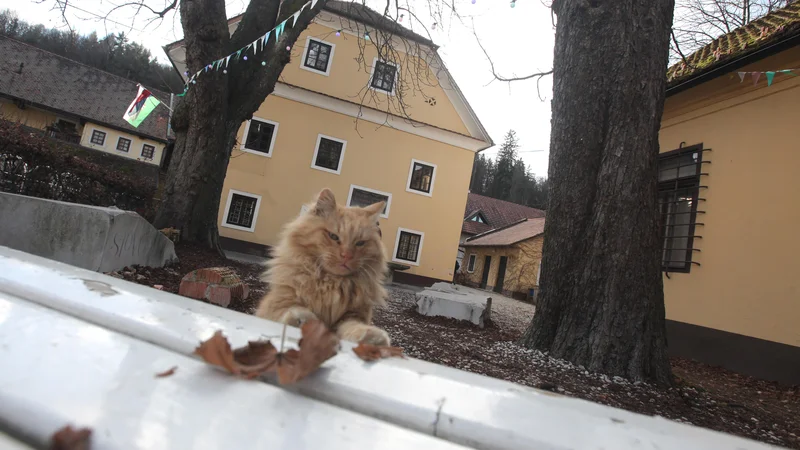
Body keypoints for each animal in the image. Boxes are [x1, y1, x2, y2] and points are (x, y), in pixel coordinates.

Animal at [255, 188, 392, 346]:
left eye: (360, 243)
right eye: (333, 236)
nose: (346, 255)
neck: (331, 283)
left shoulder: (353, 315)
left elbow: (353, 327)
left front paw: (371, 338)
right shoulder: (277, 304)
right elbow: (293, 310)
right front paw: (303, 320)